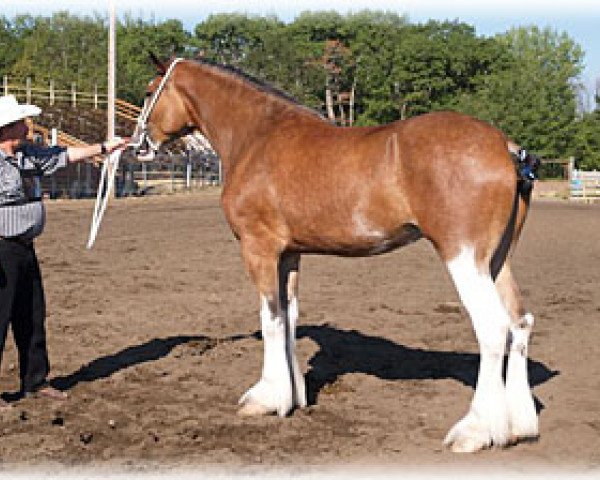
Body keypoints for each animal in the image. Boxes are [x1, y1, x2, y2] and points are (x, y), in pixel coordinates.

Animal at [131, 56, 540, 454]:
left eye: (150, 91)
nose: (139, 145)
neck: (259, 136)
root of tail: (506, 148)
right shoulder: (290, 254)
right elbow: (289, 316)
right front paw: (293, 395)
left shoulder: (258, 248)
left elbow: (270, 318)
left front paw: (265, 399)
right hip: (497, 261)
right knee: (520, 322)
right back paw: (520, 425)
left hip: (463, 257)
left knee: (492, 328)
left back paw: (475, 431)